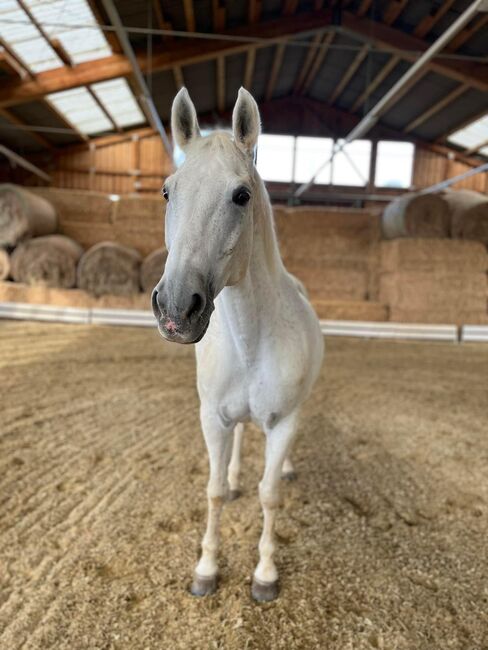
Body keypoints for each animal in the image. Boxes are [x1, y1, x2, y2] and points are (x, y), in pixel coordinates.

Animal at [152, 87, 324, 601]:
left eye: (241, 195)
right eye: (167, 191)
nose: (175, 308)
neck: (252, 340)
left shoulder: (283, 422)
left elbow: (270, 495)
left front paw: (265, 574)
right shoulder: (212, 417)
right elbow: (211, 491)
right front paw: (206, 569)